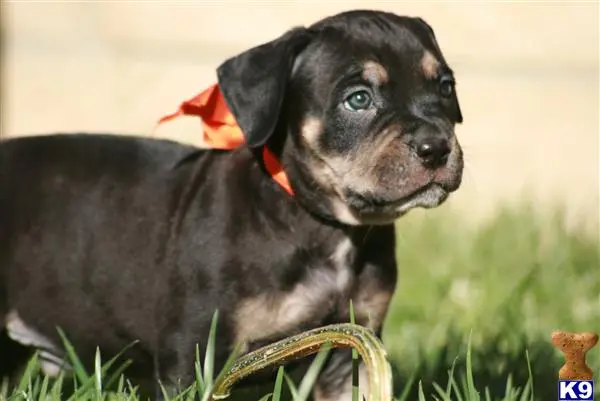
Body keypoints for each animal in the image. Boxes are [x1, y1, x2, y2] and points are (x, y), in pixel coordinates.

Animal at [0, 9, 464, 400]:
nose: (436, 147)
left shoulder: (350, 350)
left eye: (445, 88)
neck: (324, 224)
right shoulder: (192, 352)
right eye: (359, 99)